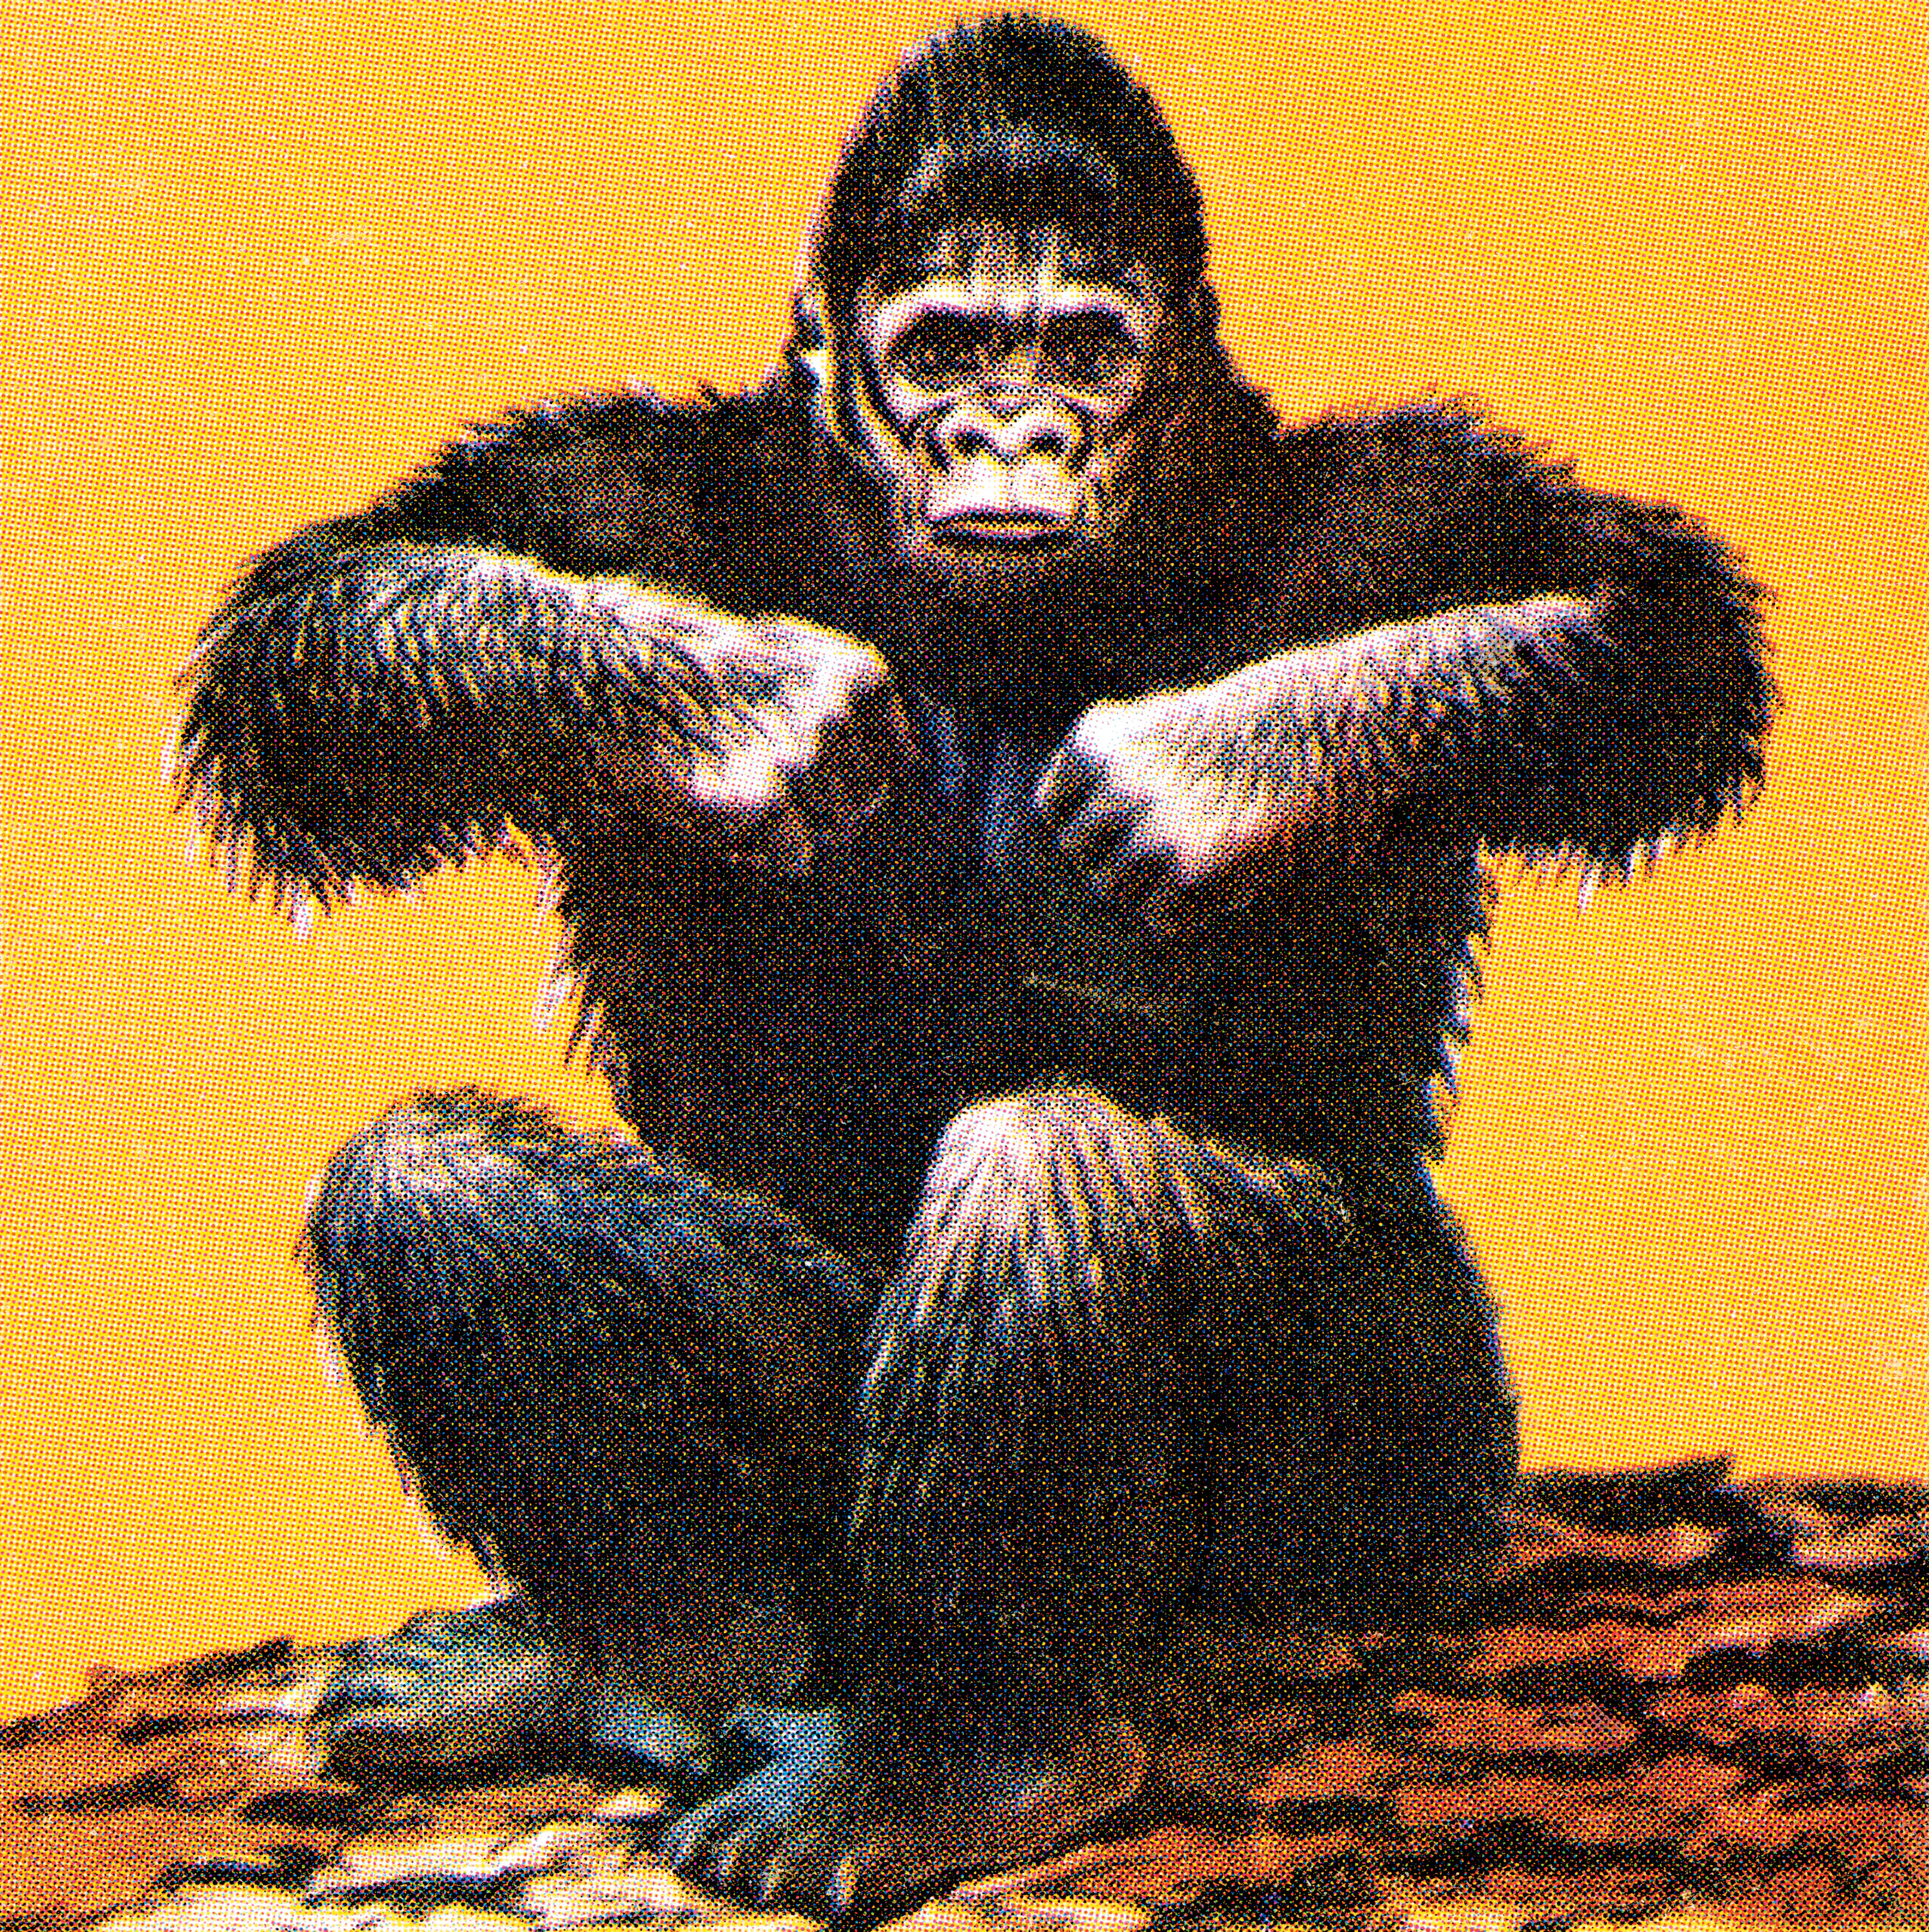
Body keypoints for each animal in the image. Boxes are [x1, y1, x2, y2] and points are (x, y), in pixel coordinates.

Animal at [173, 13, 1775, 1914]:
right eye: (942, 346)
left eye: (1080, 347)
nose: (1007, 430)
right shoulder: (630, 487)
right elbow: (324, 620)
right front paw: (747, 706)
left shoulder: (1401, 504)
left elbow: (1645, 627)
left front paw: (1221, 759)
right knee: (432, 1180)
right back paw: (635, 1659)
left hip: (1405, 1490)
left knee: (1055, 1179)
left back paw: (967, 1766)